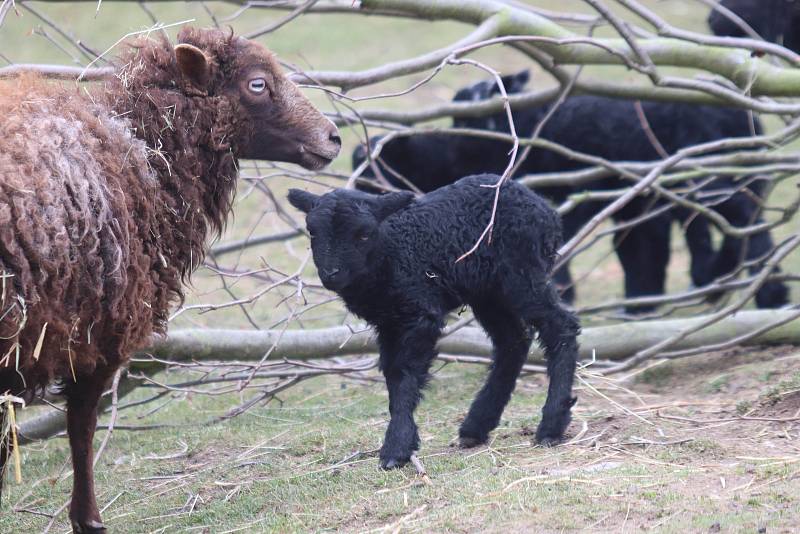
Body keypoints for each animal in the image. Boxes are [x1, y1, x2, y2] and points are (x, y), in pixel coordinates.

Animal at [0, 26, 340, 534]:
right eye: (258, 83)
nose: (333, 137)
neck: (145, 153)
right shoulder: (99, 332)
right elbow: (81, 425)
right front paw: (88, 519)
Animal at [290, 175, 580, 468]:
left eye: (364, 234)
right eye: (312, 232)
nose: (332, 273)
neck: (391, 252)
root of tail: (545, 209)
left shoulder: (419, 313)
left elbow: (403, 374)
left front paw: (396, 448)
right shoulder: (388, 322)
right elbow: (392, 374)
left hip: (522, 272)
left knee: (560, 327)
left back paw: (551, 425)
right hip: (487, 291)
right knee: (513, 341)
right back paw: (476, 426)